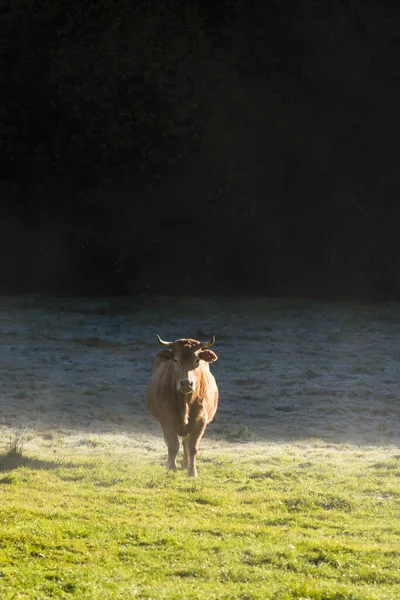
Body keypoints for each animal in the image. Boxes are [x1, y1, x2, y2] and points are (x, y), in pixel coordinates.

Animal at [145, 332, 219, 478]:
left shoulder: (201, 420)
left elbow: (192, 447)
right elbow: (173, 445)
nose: (186, 383)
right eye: (175, 360)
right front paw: (171, 468)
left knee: (186, 443)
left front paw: (192, 472)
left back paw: (185, 464)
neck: (185, 402)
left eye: (197, 360)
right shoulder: (166, 420)